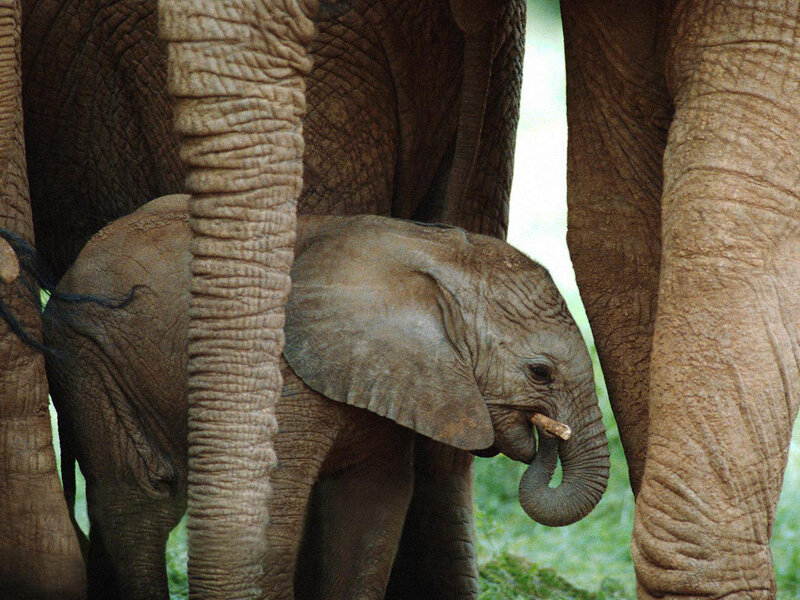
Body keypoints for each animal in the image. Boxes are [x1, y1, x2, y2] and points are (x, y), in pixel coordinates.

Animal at [43, 194, 609, 599]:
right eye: (540, 373)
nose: (548, 436)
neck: (437, 260)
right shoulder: (280, 374)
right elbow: (274, 505)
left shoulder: (394, 378)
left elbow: (373, 507)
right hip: (86, 353)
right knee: (140, 500)